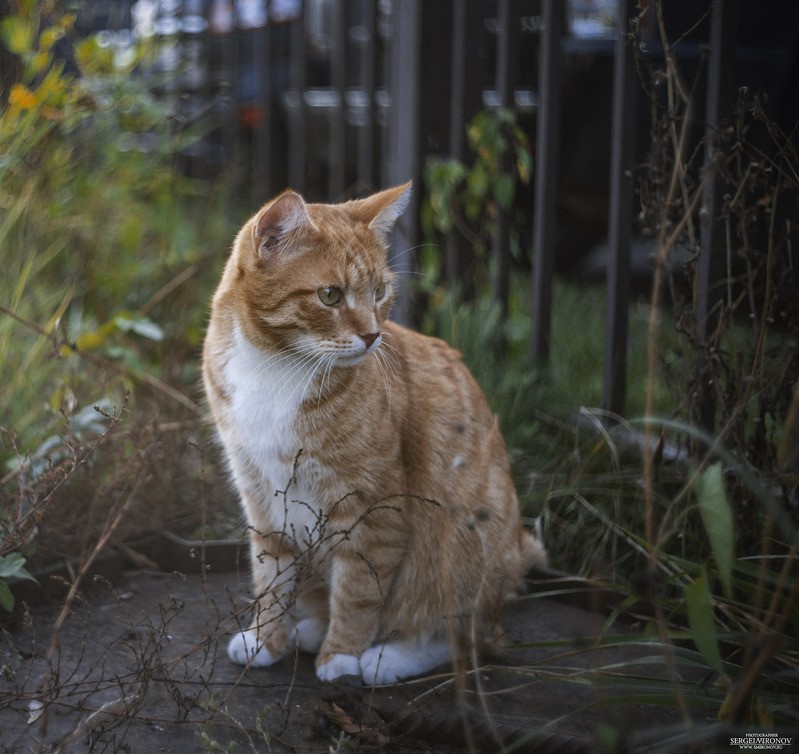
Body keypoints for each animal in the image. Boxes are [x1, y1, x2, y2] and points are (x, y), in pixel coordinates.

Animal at [203, 181, 548, 680]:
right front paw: (267, 641)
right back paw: (307, 631)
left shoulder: (373, 510)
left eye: (380, 292)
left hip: (461, 548)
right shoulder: (262, 499)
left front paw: (341, 657)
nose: (371, 337)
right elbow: (271, 577)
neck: (277, 369)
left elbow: (359, 589)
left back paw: (384, 661)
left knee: (464, 637)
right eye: (330, 295)